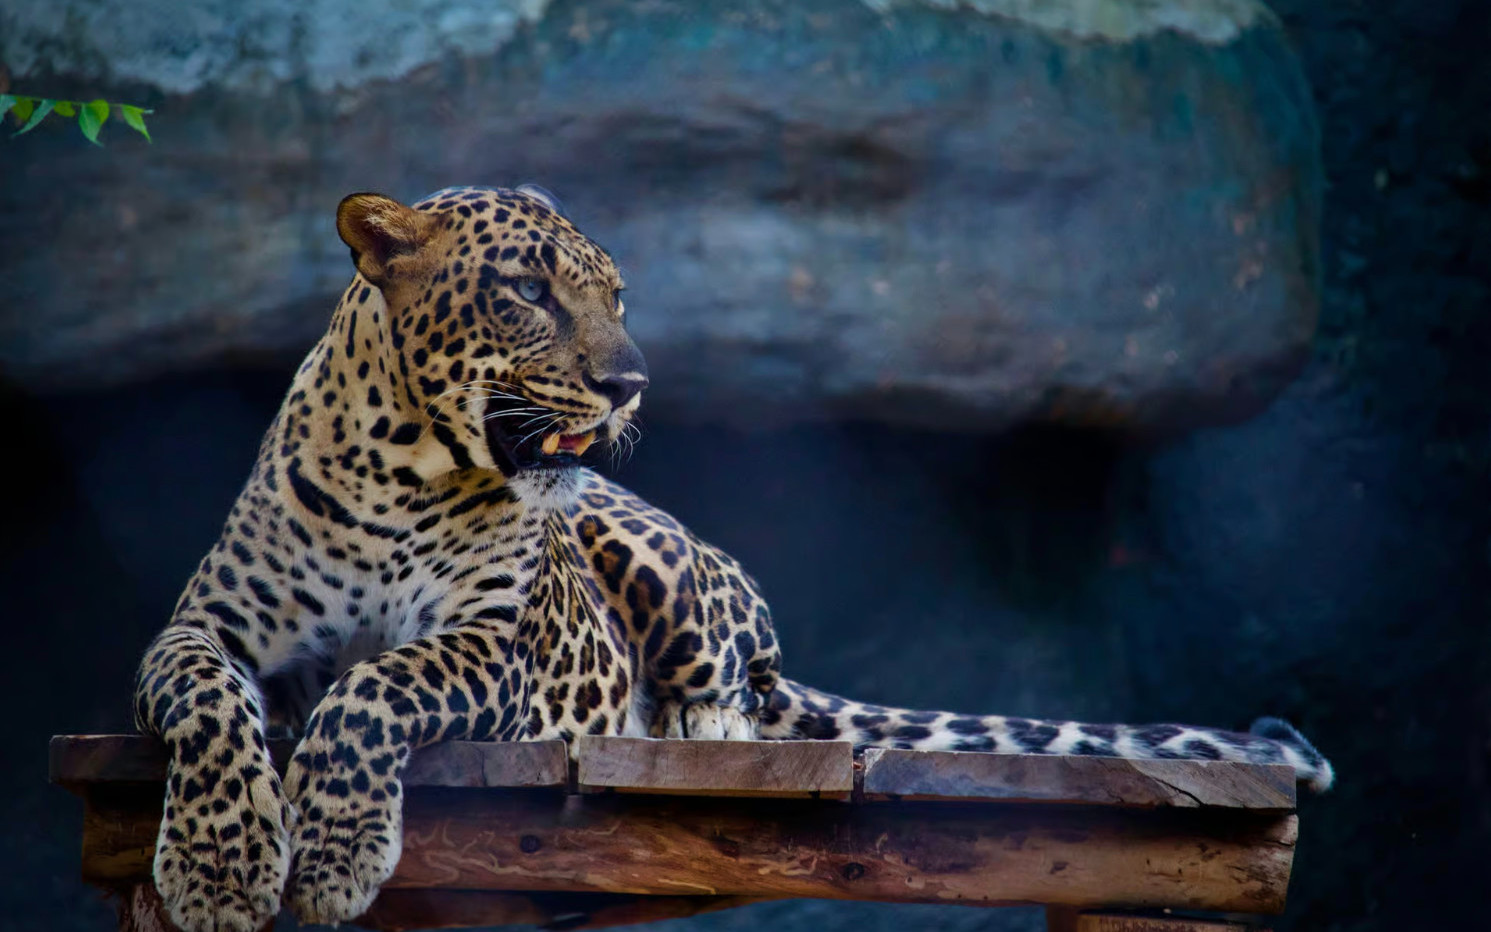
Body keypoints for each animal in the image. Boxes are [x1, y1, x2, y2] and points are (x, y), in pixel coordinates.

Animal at [133, 184, 1334, 932]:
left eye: (615, 296)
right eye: (528, 289)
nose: (629, 382)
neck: (401, 464)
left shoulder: (496, 643)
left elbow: (376, 686)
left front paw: (333, 857)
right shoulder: (203, 627)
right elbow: (209, 702)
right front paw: (219, 869)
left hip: (658, 555)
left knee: (740, 685)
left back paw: (692, 726)